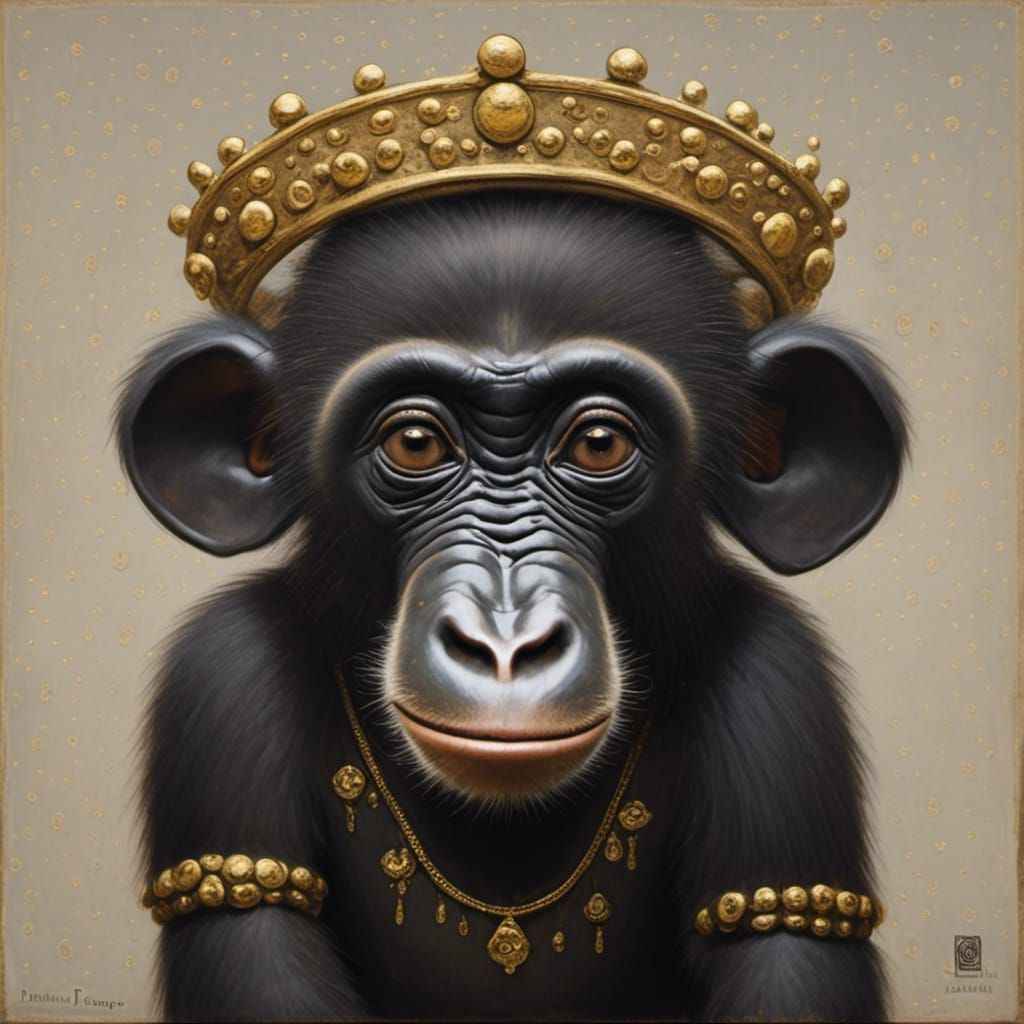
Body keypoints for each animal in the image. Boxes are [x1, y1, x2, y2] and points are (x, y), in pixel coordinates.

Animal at [117, 190, 905, 1022]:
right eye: (416, 443)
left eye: (598, 443)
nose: (504, 640)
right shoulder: (220, 674)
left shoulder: (781, 681)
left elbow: (786, 946)